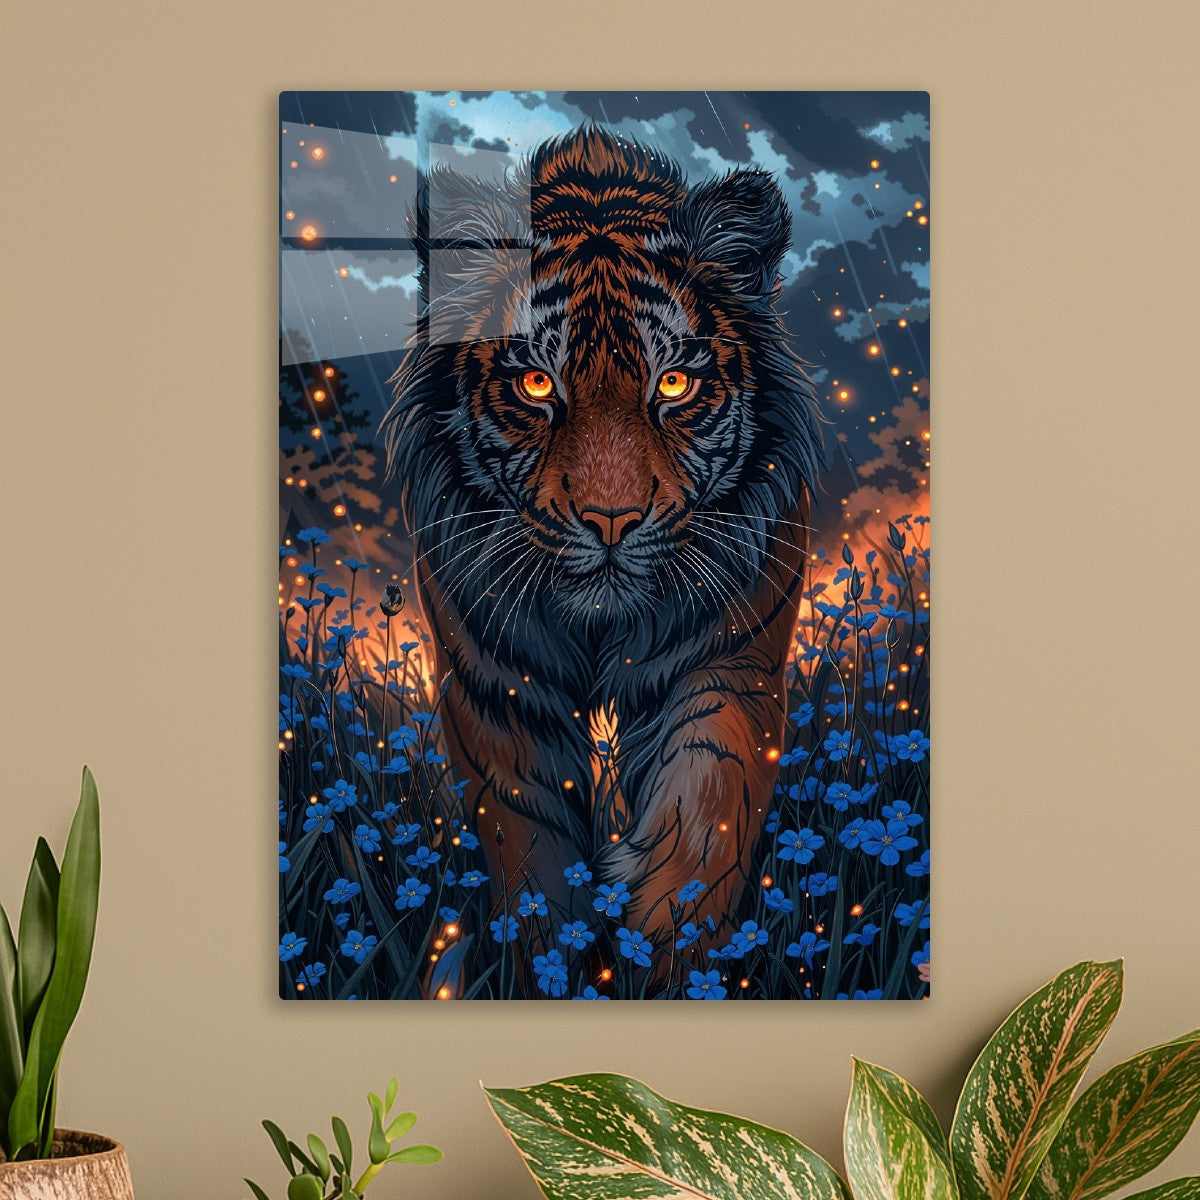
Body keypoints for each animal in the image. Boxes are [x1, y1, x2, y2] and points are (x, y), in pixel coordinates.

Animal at [382, 124, 823, 972]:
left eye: (675, 385)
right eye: (536, 385)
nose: (611, 519)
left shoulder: (729, 663)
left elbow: (709, 801)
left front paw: (663, 949)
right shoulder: (497, 686)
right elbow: (530, 848)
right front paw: (553, 957)